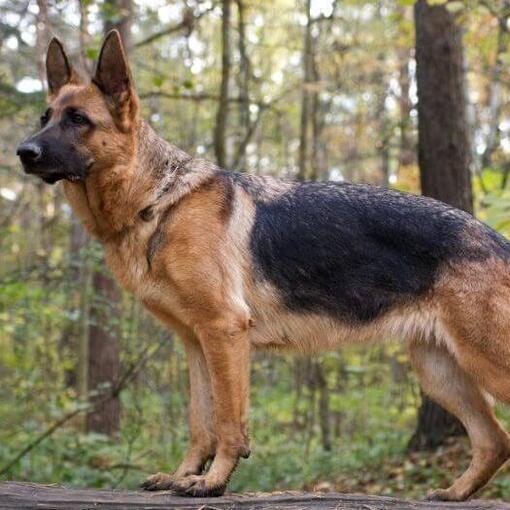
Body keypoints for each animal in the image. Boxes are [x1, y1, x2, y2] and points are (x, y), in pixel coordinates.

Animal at [16, 30, 510, 498]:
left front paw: (212, 481)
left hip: (482, 363)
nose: (23, 152)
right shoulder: (196, 343)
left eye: (78, 120)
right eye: (45, 118)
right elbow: (200, 422)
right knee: (494, 440)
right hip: (439, 373)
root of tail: (497, 239)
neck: (157, 200)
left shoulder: (225, 331)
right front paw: (183, 475)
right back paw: (455, 492)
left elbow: (228, 424)